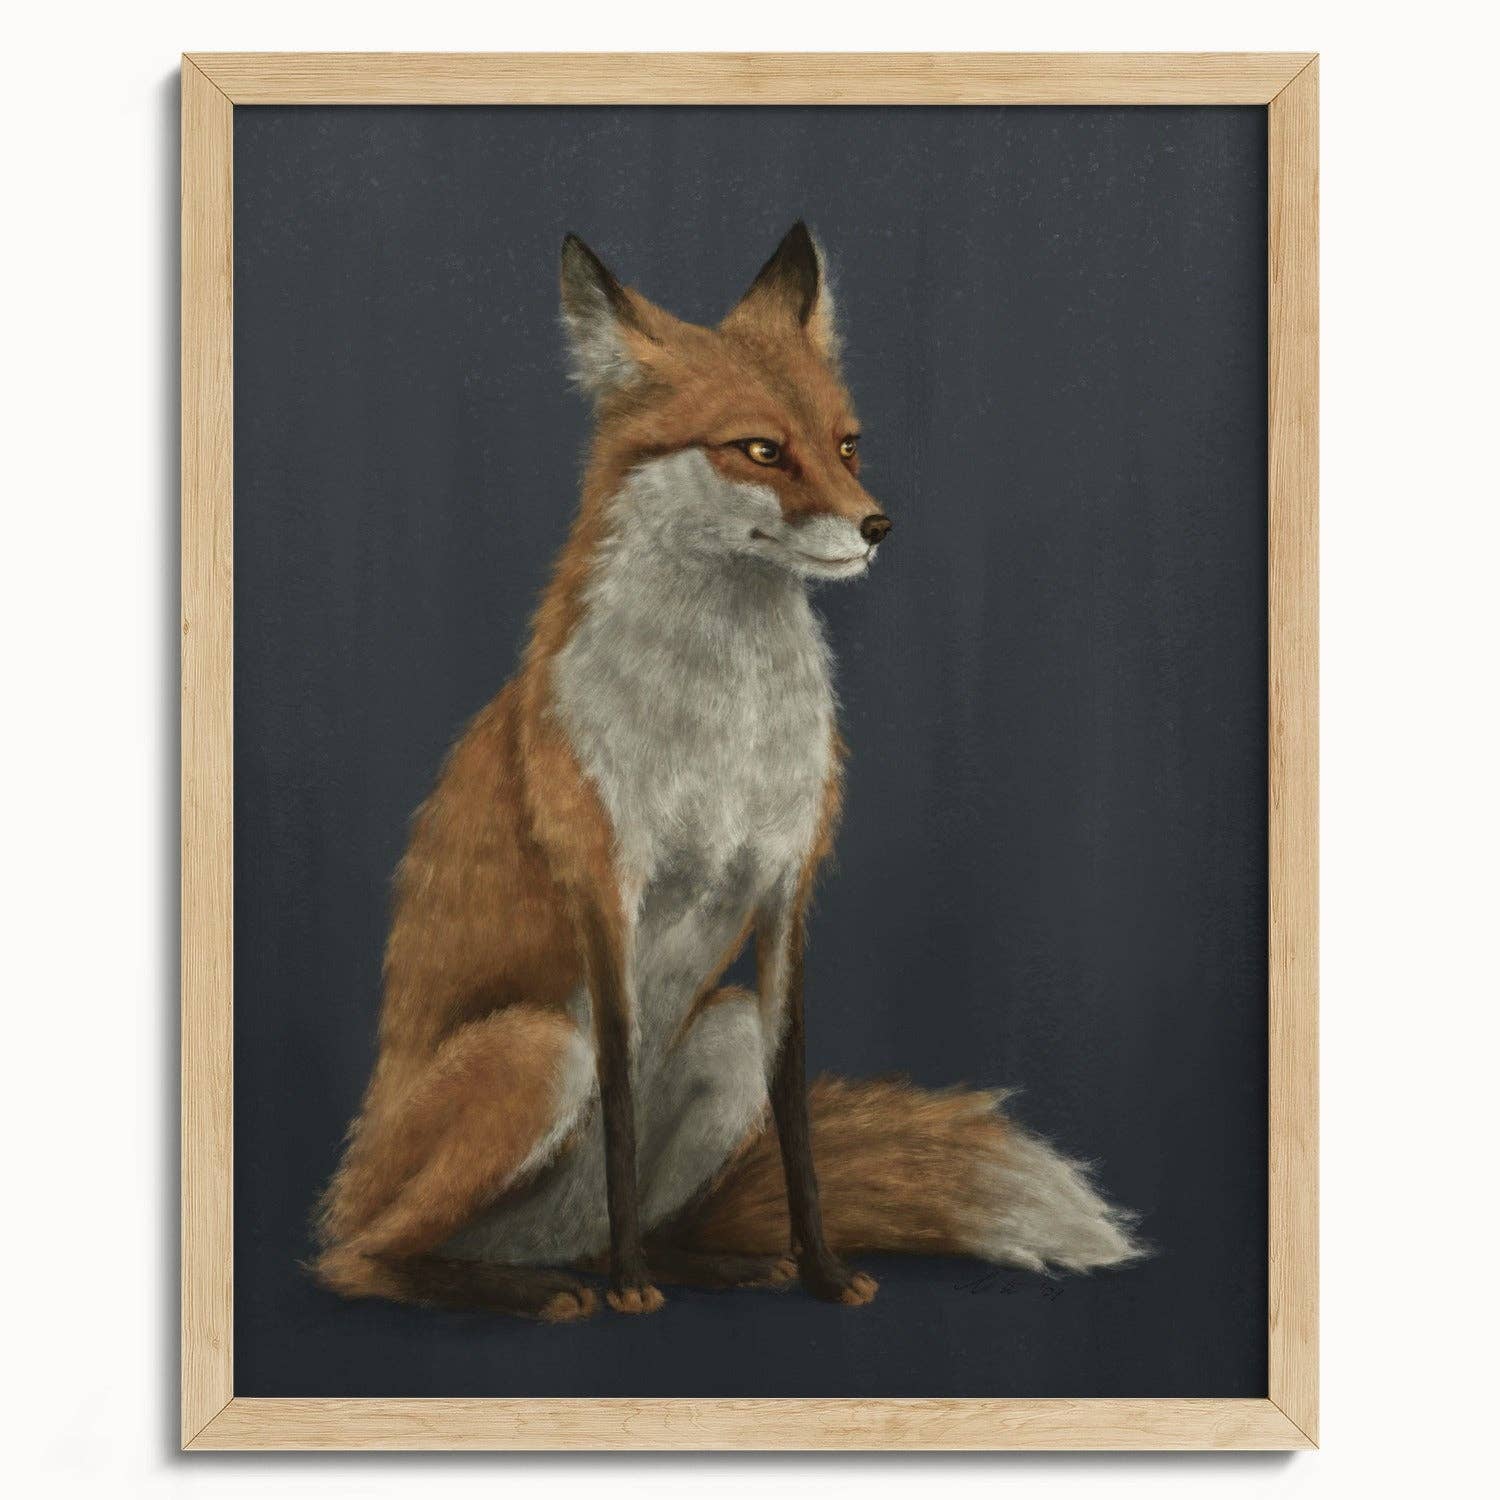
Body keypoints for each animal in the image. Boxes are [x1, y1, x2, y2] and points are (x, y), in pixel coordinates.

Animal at [312, 223, 1141, 1321]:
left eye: (847, 443)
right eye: (759, 449)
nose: (878, 526)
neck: (724, 730)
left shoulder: (787, 890)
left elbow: (796, 1122)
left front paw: (821, 1271)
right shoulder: (606, 891)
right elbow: (621, 1106)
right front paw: (632, 1291)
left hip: (724, 1032)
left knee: (623, 1219)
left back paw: (704, 1264)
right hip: (536, 1050)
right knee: (361, 1259)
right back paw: (544, 1286)